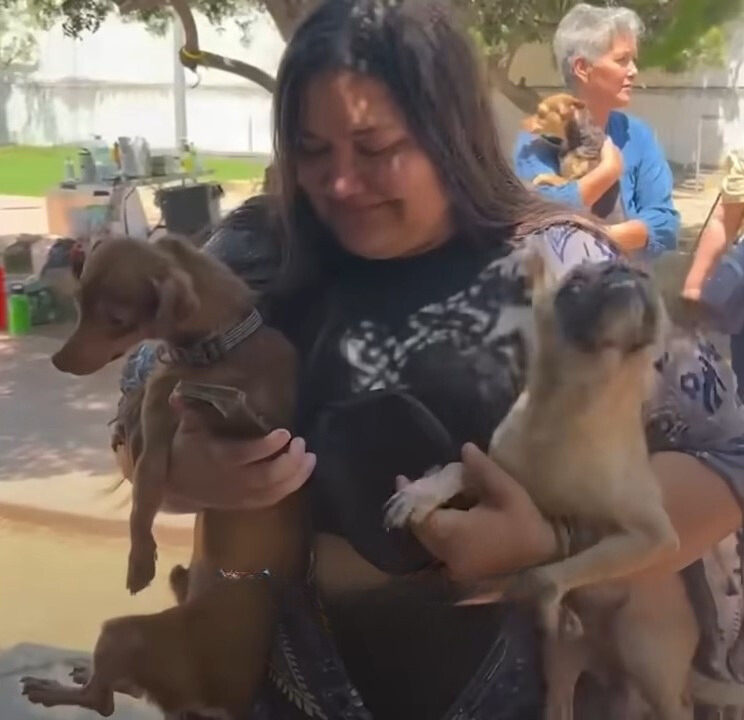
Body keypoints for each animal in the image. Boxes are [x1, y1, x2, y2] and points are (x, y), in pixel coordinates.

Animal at [20, 235, 306, 716]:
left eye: (116, 320)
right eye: (78, 303)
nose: (58, 361)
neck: (221, 345)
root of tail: (222, 700)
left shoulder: (164, 437)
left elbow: (142, 504)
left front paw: (138, 560)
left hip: (125, 633)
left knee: (102, 701)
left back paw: (54, 688)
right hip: (169, 595)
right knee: (115, 692)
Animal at [386, 256, 700, 716]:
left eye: (646, 278)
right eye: (574, 284)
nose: (623, 269)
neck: (572, 410)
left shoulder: (653, 536)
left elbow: (546, 575)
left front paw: (547, 599)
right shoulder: (495, 474)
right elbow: (456, 467)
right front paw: (419, 494)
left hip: (647, 655)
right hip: (560, 674)